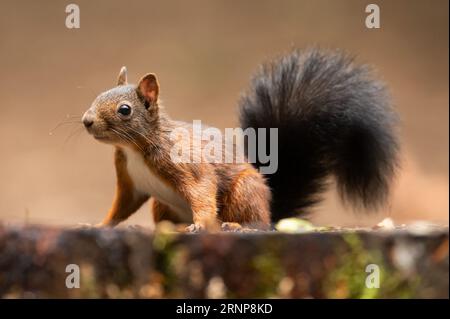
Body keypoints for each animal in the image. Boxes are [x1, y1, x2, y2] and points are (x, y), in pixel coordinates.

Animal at [81, 48, 398, 231]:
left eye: (125, 110)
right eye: (99, 95)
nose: (87, 120)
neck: (133, 149)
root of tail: (273, 216)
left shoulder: (185, 162)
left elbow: (202, 189)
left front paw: (200, 225)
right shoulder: (130, 182)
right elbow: (121, 206)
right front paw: (99, 224)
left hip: (245, 191)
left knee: (257, 225)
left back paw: (236, 227)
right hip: (162, 205)